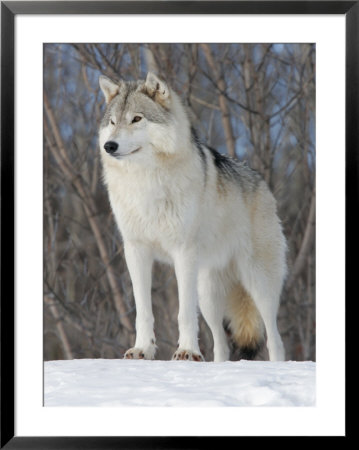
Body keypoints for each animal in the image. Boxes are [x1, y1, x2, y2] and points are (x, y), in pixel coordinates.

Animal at [97, 73, 286, 362]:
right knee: (221, 344)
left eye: (137, 119)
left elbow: (184, 312)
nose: (110, 146)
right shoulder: (136, 250)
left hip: (258, 285)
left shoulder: (183, 252)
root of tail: (263, 183)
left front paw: (186, 351)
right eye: (113, 122)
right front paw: (142, 350)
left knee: (275, 339)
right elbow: (143, 311)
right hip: (209, 297)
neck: (145, 182)